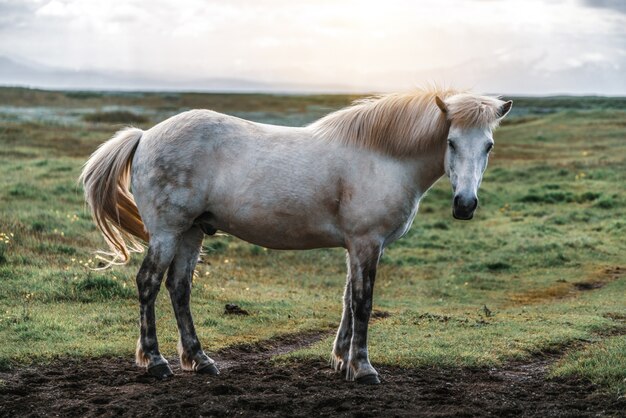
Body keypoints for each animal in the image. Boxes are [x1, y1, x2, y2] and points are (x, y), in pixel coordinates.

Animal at [79, 89, 508, 386]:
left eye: (488, 145)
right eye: (451, 142)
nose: (465, 204)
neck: (383, 157)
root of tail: (145, 135)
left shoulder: (358, 246)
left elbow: (348, 300)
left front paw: (341, 360)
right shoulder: (367, 243)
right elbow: (363, 302)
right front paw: (363, 367)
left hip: (190, 233)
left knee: (179, 288)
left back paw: (200, 360)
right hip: (168, 233)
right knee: (148, 283)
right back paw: (155, 361)